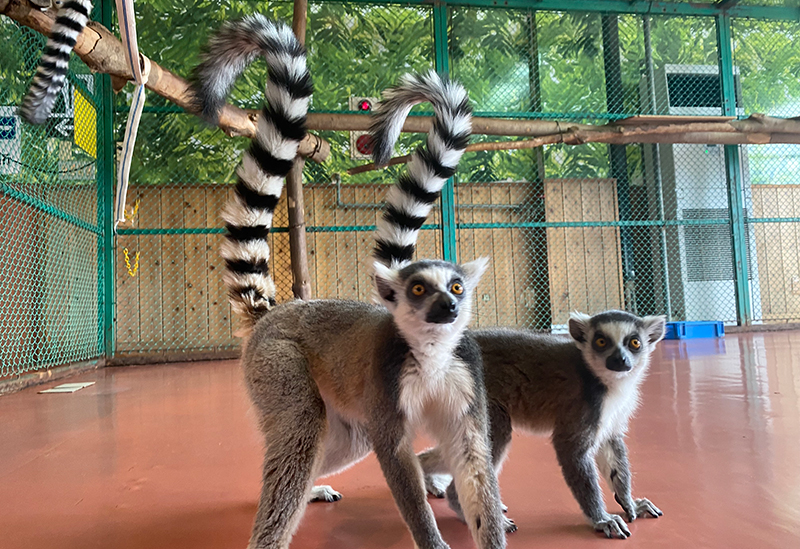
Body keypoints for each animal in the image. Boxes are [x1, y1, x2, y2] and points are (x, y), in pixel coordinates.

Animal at [190, 17, 505, 549]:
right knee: (300, 432)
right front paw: (431, 537)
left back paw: (306, 487)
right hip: (278, 365)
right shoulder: (387, 381)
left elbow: (473, 457)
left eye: (456, 288)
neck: (432, 357)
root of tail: (277, 312)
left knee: (331, 440)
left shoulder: (465, 377)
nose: (448, 308)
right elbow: (395, 457)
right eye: (419, 290)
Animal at [416, 310, 666, 539]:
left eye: (634, 343)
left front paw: (629, 503)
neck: (607, 383)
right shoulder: (584, 404)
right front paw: (601, 519)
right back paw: (459, 502)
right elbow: (571, 451)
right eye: (601, 342)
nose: (620, 359)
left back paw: (424, 473)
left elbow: (610, 445)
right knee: (495, 437)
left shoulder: (611, 414)